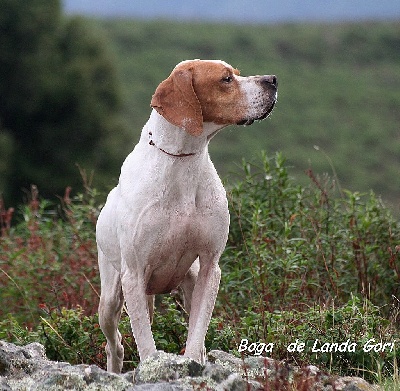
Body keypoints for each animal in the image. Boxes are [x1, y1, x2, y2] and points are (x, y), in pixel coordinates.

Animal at [95, 59, 276, 372]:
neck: (182, 163)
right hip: (111, 297)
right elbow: (147, 345)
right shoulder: (134, 274)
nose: (273, 80)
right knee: (115, 343)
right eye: (226, 79)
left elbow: (196, 336)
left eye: (237, 73)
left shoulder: (209, 267)